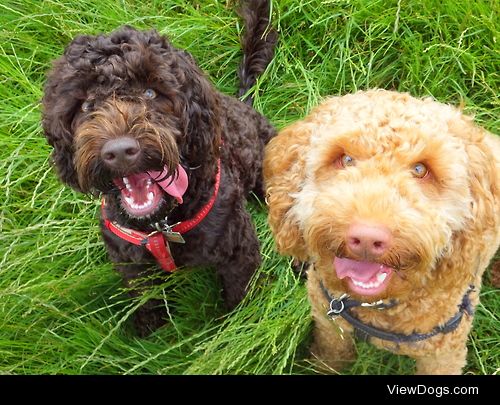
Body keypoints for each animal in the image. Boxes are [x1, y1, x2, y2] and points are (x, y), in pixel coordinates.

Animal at [264, 90, 498, 374]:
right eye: (345, 159)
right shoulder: (329, 322)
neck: (376, 306)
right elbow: (331, 353)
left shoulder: (444, 354)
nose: (366, 238)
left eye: (420, 169)